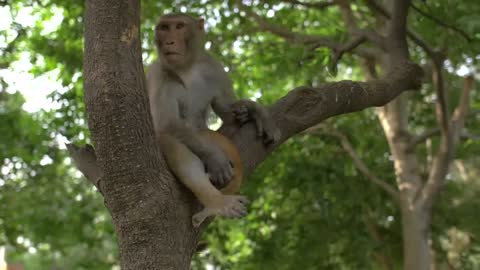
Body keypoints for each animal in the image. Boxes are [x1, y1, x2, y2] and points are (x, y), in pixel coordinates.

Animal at [148, 13, 280, 227]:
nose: (169, 41)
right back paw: (216, 202)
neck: (186, 68)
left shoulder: (213, 67)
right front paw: (215, 158)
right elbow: (167, 123)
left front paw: (255, 110)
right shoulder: (159, 75)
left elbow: (226, 109)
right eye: (164, 28)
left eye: (179, 26)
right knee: (168, 139)